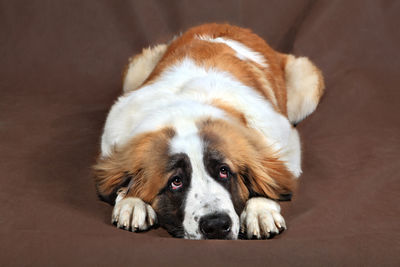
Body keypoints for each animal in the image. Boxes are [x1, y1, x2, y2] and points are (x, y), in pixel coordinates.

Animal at [94, 23, 324, 241]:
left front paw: (260, 209)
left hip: (305, 86)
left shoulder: (284, 142)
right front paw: (132, 202)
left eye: (224, 171)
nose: (216, 225)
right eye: (176, 182)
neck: (188, 107)